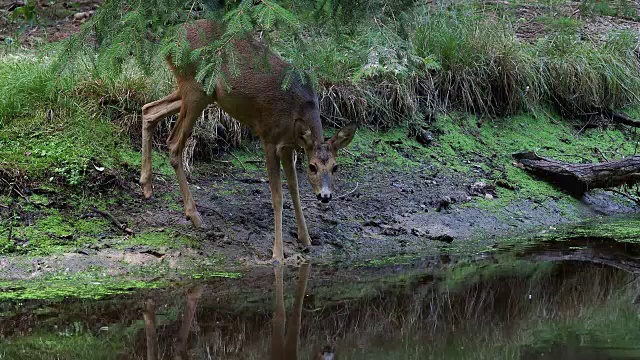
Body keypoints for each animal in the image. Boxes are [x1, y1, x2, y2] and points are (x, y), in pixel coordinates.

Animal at [141, 19, 358, 260]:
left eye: (335, 167)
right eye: (312, 167)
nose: (325, 196)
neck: (298, 109)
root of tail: (171, 40)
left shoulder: (288, 146)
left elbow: (294, 190)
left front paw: (306, 239)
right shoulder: (269, 138)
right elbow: (277, 197)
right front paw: (277, 254)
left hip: (195, 91)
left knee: (149, 109)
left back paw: (147, 186)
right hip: (196, 88)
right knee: (173, 143)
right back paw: (194, 215)